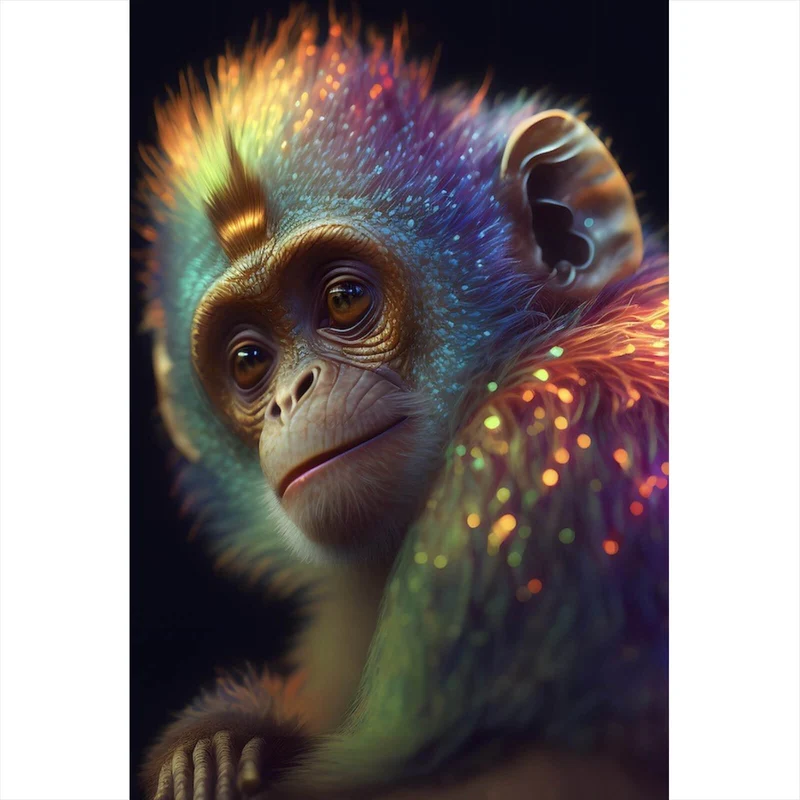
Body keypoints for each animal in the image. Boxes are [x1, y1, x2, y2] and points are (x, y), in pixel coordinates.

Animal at [135, 9, 668, 799]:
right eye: (249, 361)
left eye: (344, 298)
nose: (293, 395)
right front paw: (214, 745)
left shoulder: (539, 463)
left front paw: (225, 738)